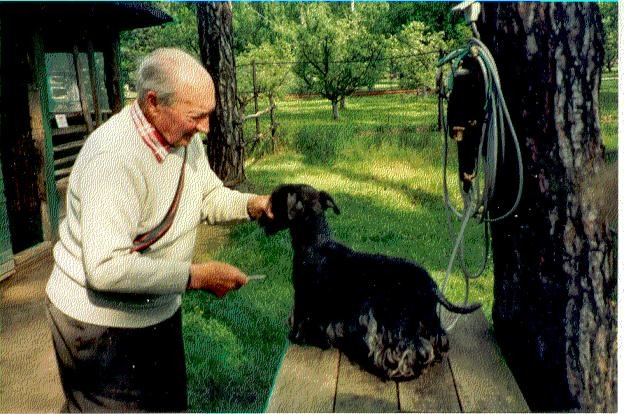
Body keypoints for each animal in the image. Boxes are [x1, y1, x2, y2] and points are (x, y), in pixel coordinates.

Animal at [260, 184, 480, 382]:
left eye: (276, 199)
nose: (262, 218)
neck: (316, 242)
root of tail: (431, 285)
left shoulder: (304, 300)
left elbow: (300, 321)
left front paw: (296, 337)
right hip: (427, 320)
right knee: (436, 341)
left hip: (399, 326)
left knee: (412, 348)